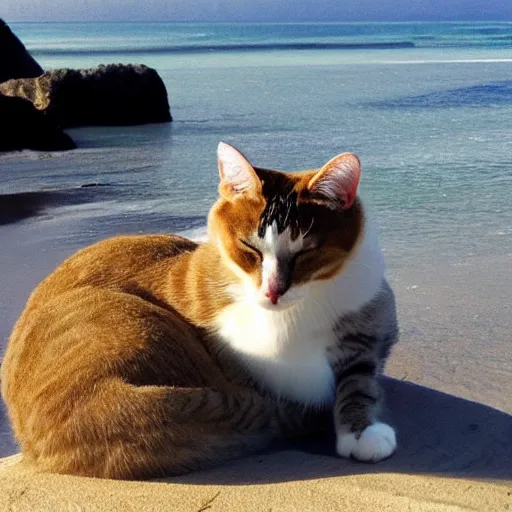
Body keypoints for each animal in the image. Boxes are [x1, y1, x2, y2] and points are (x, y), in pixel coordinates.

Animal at [0, 142, 400, 478]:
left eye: (305, 253)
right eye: (249, 249)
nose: (272, 291)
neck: (298, 310)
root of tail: (96, 401)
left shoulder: (371, 317)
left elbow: (359, 379)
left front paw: (361, 431)